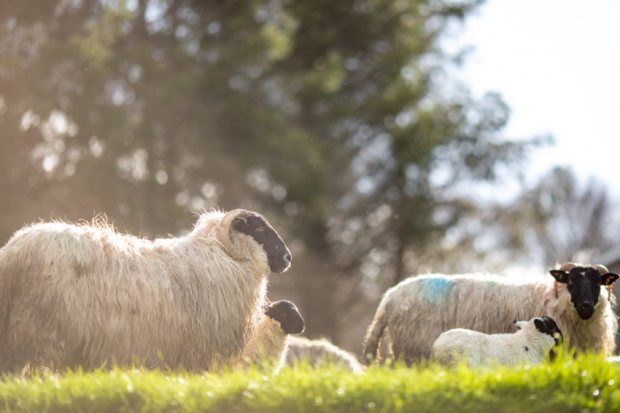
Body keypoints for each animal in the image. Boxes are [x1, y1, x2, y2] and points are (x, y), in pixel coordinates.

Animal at [0, 208, 296, 372]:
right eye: (259, 229)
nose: (288, 257)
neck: (224, 255)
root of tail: (12, 253)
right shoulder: (198, 354)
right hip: (39, 336)